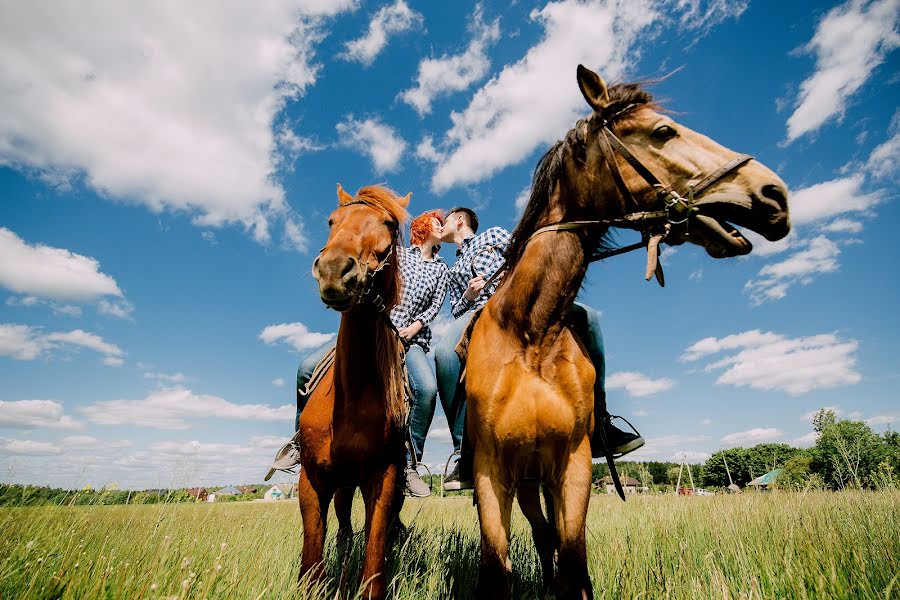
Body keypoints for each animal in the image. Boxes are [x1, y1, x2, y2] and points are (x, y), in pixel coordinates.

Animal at [300, 184, 414, 600]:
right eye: (331, 220)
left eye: (389, 224)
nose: (334, 270)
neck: (347, 402)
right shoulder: (312, 482)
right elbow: (311, 563)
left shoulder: (382, 481)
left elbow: (374, 560)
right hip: (341, 487)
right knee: (345, 533)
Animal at [460, 63, 792, 596]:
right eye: (662, 132)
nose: (773, 195)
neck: (530, 332)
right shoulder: (493, 471)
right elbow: (498, 566)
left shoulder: (572, 464)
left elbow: (574, 561)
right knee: (540, 537)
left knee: (549, 541)